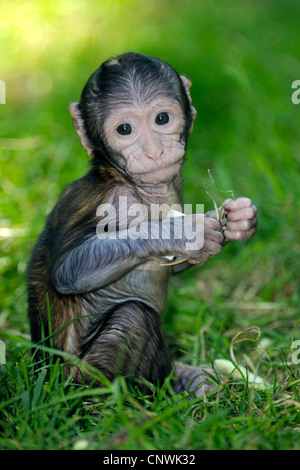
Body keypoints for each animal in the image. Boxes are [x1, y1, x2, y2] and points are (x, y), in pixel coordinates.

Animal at [28, 51, 256, 396]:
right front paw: (182, 232)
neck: (133, 184)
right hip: (84, 380)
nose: (153, 151)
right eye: (125, 129)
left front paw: (239, 221)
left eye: (162, 119)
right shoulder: (110, 200)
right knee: (132, 315)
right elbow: (69, 271)